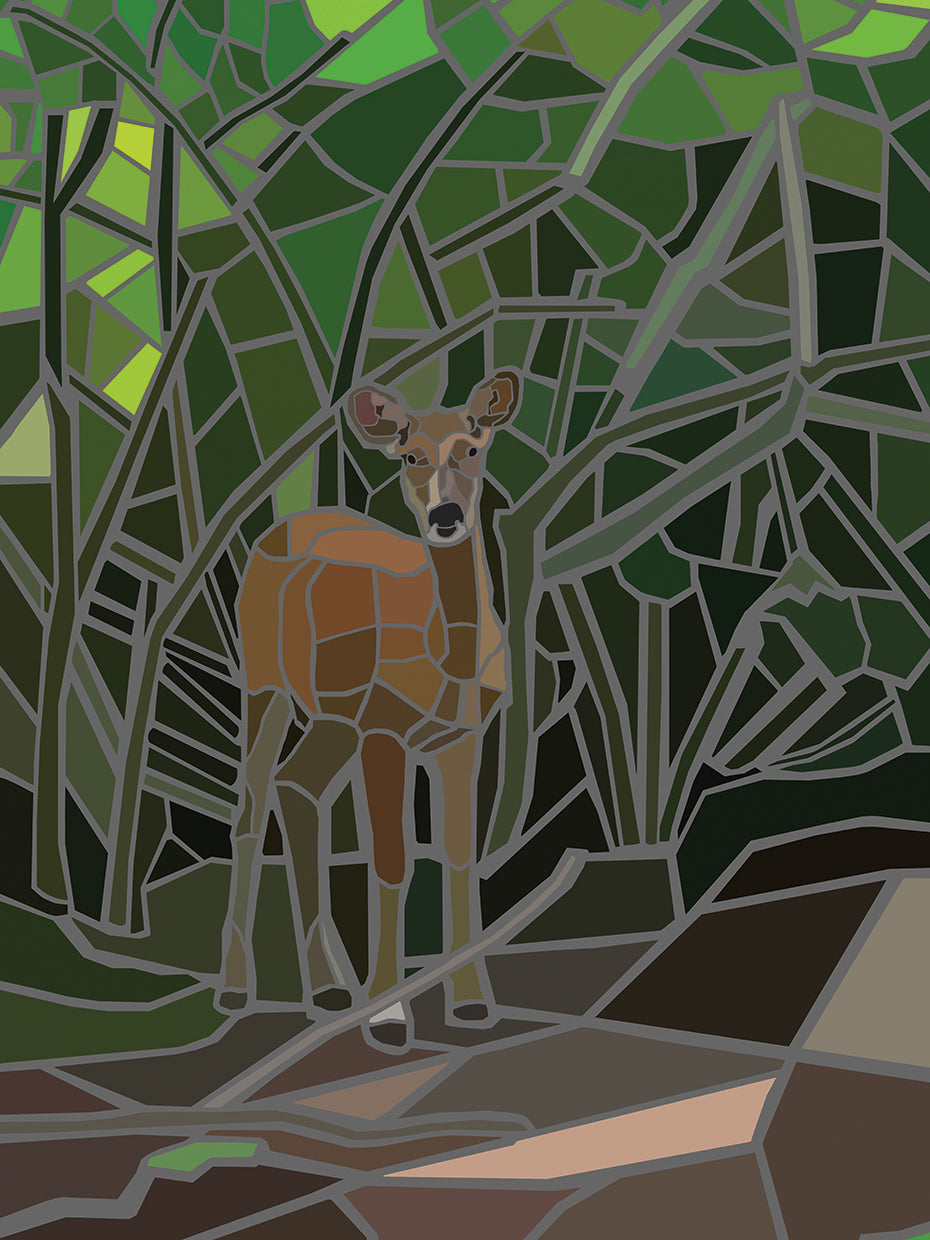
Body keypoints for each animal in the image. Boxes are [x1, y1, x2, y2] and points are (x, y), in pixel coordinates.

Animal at [215, 370, 521, 1047]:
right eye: (410, 455)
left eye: (473, 446)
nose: (445, 516)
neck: (447, 660)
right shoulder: (386, 730)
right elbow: (391, 861)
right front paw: (388, 1017)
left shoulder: (463, 737)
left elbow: (460, 858)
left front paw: (472, 1005)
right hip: (264, 684)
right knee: (249, 806)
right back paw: (236, 989)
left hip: (333, 718)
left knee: (297, 786)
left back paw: (327, 991)